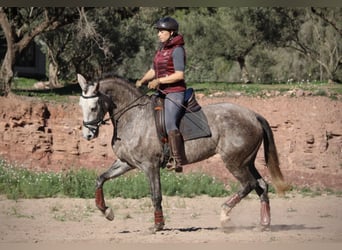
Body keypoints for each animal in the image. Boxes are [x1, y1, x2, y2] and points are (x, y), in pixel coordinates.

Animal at [77, 74, 288, 232]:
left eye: (94, 107)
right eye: (81, 106)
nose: (88, 134)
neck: (134, 117)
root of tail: (253, 115)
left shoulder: (150, 166)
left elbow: (156, 195)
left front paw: (158, 225)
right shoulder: (126, 163)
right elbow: (100, 179)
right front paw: (106, 211)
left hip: (234, 162)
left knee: (249, 184)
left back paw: (225, 214)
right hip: (247, 162)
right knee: (261, 185)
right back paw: (264, 224)